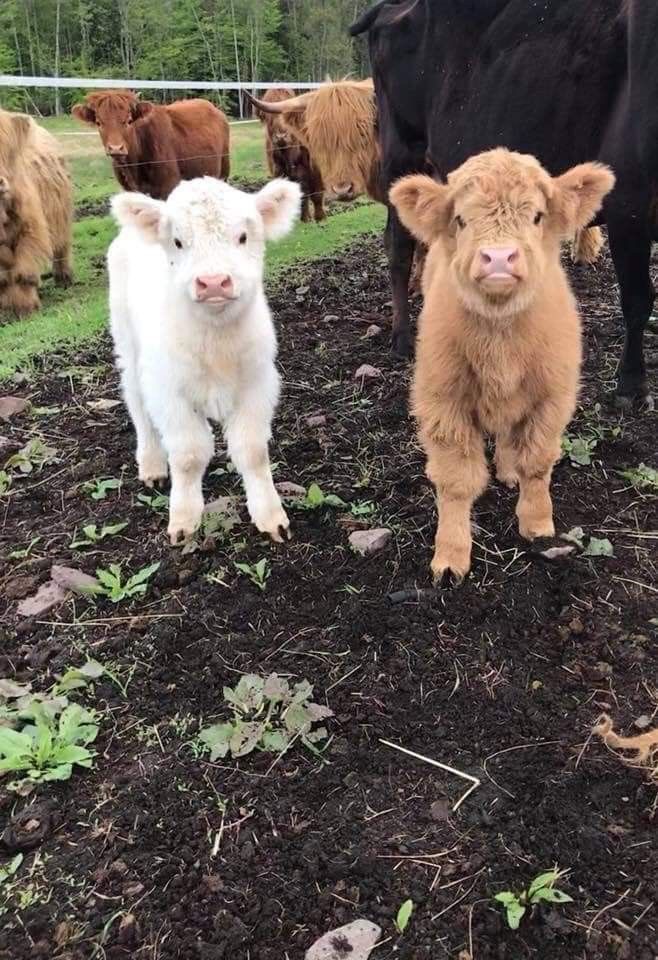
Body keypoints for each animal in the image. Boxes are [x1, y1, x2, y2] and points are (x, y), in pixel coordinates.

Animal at [0, 110, 73, 316]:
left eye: (6, 150)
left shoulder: (31, 228)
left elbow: (24, 270)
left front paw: (26, 307)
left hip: (62, 214)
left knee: (62, 246)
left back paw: (64, 278)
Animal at [107, 176, 301, 545]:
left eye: (243, 236)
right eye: (178, 241)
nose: (212, 283)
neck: (216, 343)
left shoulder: (258, 384)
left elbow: (252, 450)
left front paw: (271, 517)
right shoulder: (169, 394)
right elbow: (188, 455)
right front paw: (183, 520)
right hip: (127, 342)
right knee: (136, 401)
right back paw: (152, 464)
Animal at [253, 88, 326, 224]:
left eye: (288, 116)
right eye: (267, 117)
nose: (281, 136)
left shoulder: (315, 170)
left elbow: (316, 195)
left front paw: (320, 218)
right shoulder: (279, 172)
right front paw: (305, 219)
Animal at [352, 0, 657, 405]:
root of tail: (394, 6)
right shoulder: (629, 203)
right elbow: (638, 299)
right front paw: (631, 385)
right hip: (400, 154)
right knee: (399, 245)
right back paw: (402, 337)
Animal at [391, 148, 615, 579]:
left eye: (537, 216)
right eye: (461, 219)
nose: (497, 258)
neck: (500, 344)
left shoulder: (551, 399)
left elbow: (537, 464)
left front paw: (537, 525)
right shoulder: (443, 405)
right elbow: (456, 481)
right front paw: (450, 556)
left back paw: (509, 471)